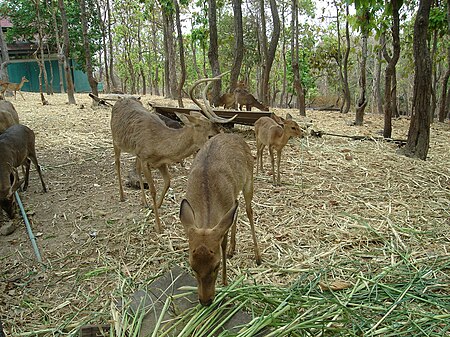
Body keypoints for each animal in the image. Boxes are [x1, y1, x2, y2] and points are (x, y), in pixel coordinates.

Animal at [110, 74, 236, 232]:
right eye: (210, 136)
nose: (221, 144)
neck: (160, 144)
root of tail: (119, 101)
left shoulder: (158, 161)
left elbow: (168, 182)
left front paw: (155, 206)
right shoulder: (145, 158)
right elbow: (153, 189)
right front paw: (158, 226)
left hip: (135, 152)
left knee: (136, 169)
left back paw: (143, 202)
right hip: (115, 139)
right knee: (117, 163)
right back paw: (122, 196)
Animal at [179, 133, 262, 306]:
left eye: (216, 265)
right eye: (192, 266)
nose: (205, 301)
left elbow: (222, 243)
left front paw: (224, 282)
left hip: (249, 180)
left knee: (249, 211)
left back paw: (257, 256)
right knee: (237, 211)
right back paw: (232, 249)